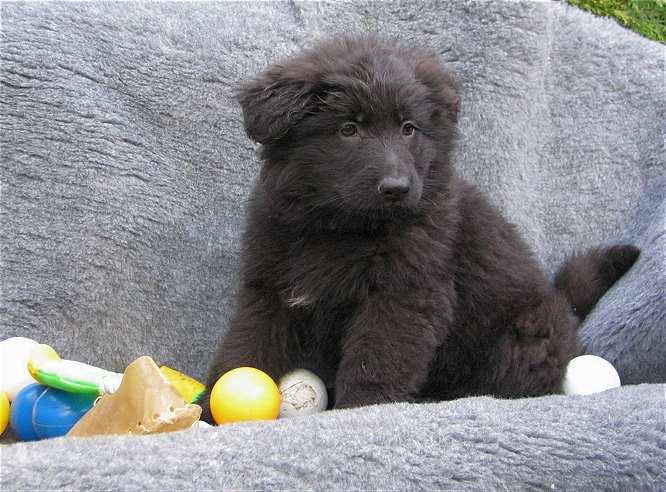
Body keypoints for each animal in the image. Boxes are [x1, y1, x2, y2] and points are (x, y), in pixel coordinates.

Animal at [200, 36, 639, 421]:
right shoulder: (270, 290)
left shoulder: (404, 295)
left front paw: (358, 413)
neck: (341, 229)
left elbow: (376, 362)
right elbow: (245, 349)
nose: (397, 188)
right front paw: (208, 412)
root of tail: (563, 308)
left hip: (521, 338)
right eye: (348, 129)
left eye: (408, 128)